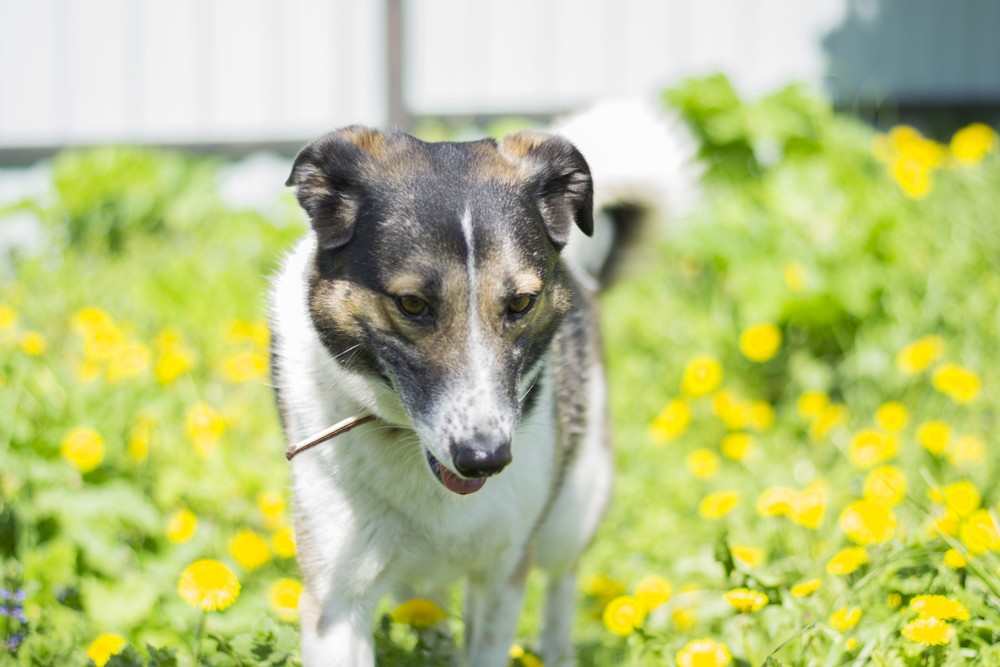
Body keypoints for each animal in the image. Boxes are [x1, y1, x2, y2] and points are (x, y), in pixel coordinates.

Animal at [270, 100, 700, 667]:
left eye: (520, 302)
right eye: (412, 304)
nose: (485, 459)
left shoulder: (502, 573)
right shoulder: (336, 601)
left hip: (573, 507)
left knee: (562, 580)